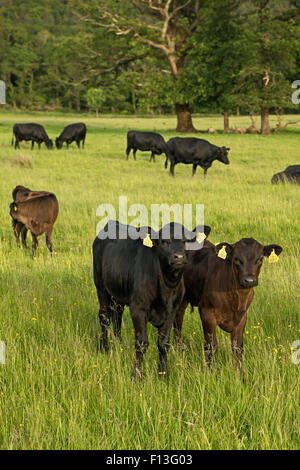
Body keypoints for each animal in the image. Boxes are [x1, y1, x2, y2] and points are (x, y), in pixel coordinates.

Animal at [92, 220, 210, 378]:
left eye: (186, 241)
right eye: (164, 241)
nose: (178, 257)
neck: (166, 288)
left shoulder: (172, 311)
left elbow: (164, 343)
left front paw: (163, 374)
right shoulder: (138, 308)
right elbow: (141, 343)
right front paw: (137, 375)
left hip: (118, 292)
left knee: (117, 315)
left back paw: (118, 343)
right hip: (101, 286)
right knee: (104, 317)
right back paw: (105, 347)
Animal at [175, 239, 282, 374]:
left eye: (260, 258)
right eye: (236, 258)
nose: (249, 280)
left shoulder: (242, 317)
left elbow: (237, 347)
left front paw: (240, 375)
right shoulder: (207, 313)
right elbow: (211, 345)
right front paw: (210, 373)